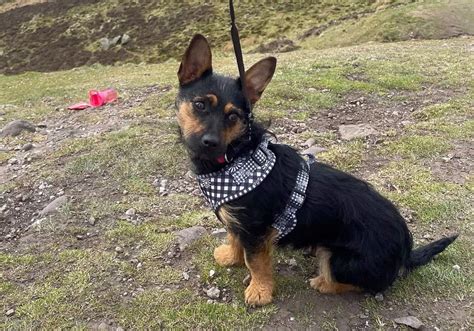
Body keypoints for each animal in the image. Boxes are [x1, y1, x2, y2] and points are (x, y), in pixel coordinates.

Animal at [175, 35, 460, 308]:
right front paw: (230, 256)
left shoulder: (255, 231)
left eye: (233, 116)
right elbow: (234, 237)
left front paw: (260, 291)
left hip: (337, 258)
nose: (210, 142)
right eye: (200, 105)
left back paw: (323, 282)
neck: (236, 156)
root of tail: (405, 252)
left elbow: (256, 262)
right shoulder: (239, 222)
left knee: (362, 284)